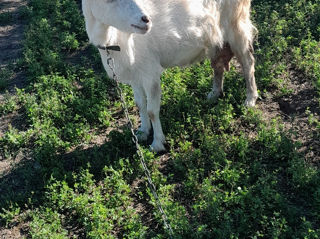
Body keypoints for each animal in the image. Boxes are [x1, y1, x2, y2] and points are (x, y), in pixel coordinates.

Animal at [82, 0, 258, 152]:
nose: (146, 20)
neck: (114, 40)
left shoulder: (150, 73)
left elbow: (152, 110)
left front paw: (157, 143)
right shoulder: (135, 75)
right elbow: (140, 105)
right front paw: (142, 132)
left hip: (237, 25)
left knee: (248, 62)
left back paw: (250, 99)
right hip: (215, 36)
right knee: (218, 64)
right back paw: (214, 93)